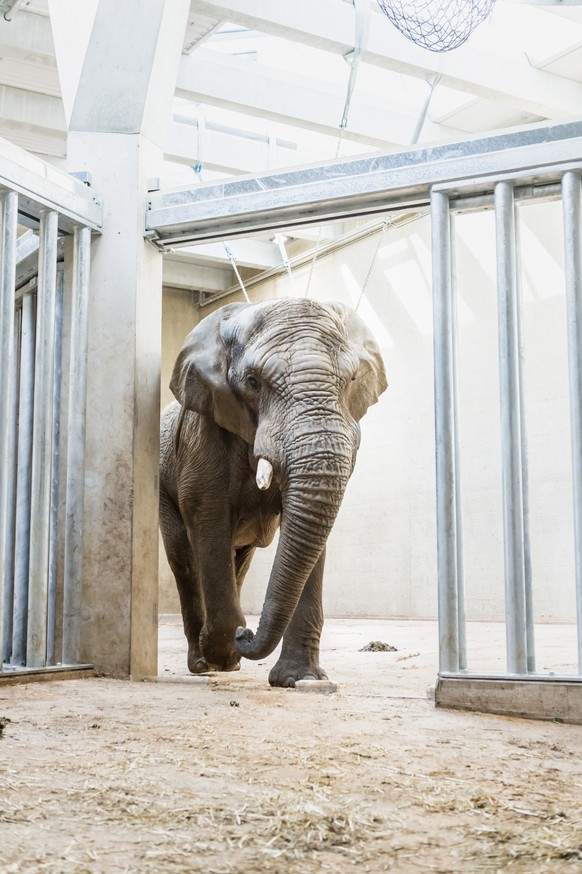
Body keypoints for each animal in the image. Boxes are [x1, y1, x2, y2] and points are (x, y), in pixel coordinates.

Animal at [160, 296, 388, 684]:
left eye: (352, 379)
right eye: (253, 382)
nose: (247, 633)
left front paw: (300, 679)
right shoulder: (201, 437)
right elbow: (207, 516)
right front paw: (223, 649)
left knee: (239, 559)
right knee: (185, 561)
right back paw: (206, 664)